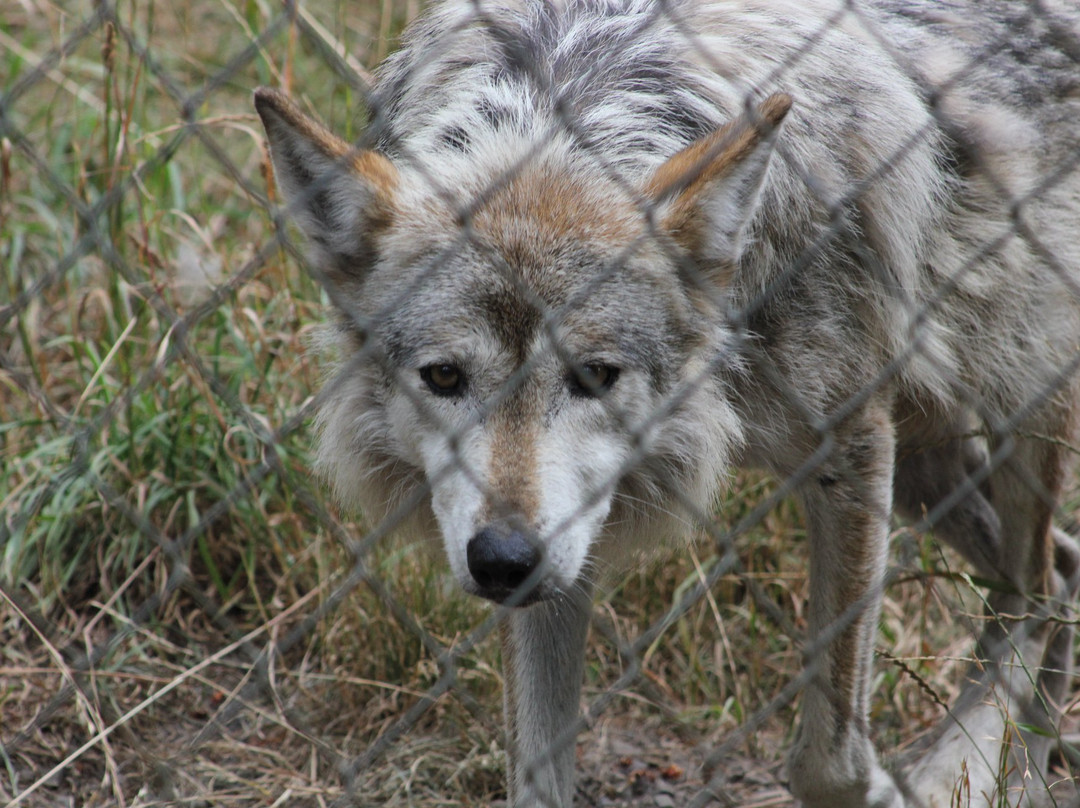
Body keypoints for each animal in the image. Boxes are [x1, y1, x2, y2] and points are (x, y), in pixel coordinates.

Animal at [255, 0, 1080, 805]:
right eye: (445, 378)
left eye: (595, 376)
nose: (503, 561)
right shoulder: (565, 557)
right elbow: (537, 776)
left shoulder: (849, 447)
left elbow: (829, 764)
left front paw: (896, 784)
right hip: (926, 465)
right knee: (1059, 577)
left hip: (1010, 405)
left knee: (1035, 593)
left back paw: (959, 770)